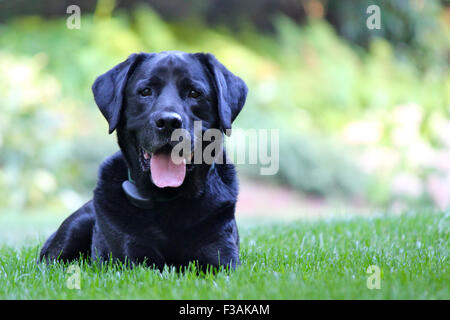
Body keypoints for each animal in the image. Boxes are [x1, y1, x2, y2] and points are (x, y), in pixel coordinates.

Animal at [39, 52, 248, 270]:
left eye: (195, 93)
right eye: (145, 91)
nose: (168, 122)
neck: (170, 201)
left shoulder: (222, 258)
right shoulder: (135, 259)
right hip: (76, 226)